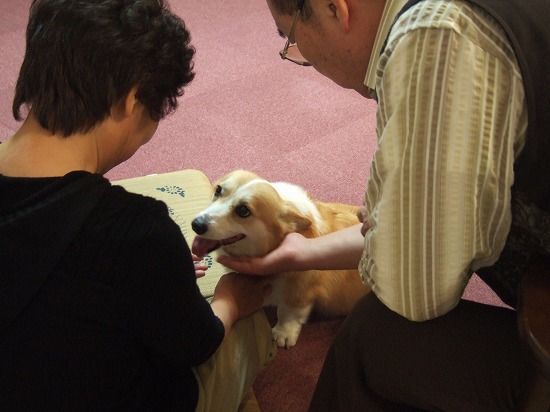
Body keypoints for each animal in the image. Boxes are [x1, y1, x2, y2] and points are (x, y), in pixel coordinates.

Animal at [191, 170, 369, 348]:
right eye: (218, 190)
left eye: (243, 210)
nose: (196, 224)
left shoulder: (301, 287)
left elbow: (289, 311)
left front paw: (283, 333)